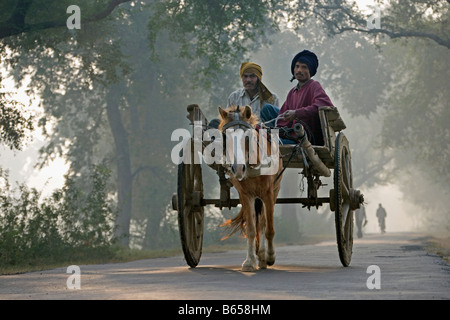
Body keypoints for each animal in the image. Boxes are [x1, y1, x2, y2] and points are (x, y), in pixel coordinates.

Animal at [218, 105, 282, 272]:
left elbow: (269, 228)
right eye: (225, 137)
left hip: (275, 189)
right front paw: (249, 261)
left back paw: (265, 256)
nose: (239, 168)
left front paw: (270, 256)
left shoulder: (268, 193)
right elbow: (252, 229)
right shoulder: (245, 195)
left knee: (264, 222)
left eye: (247, 137)